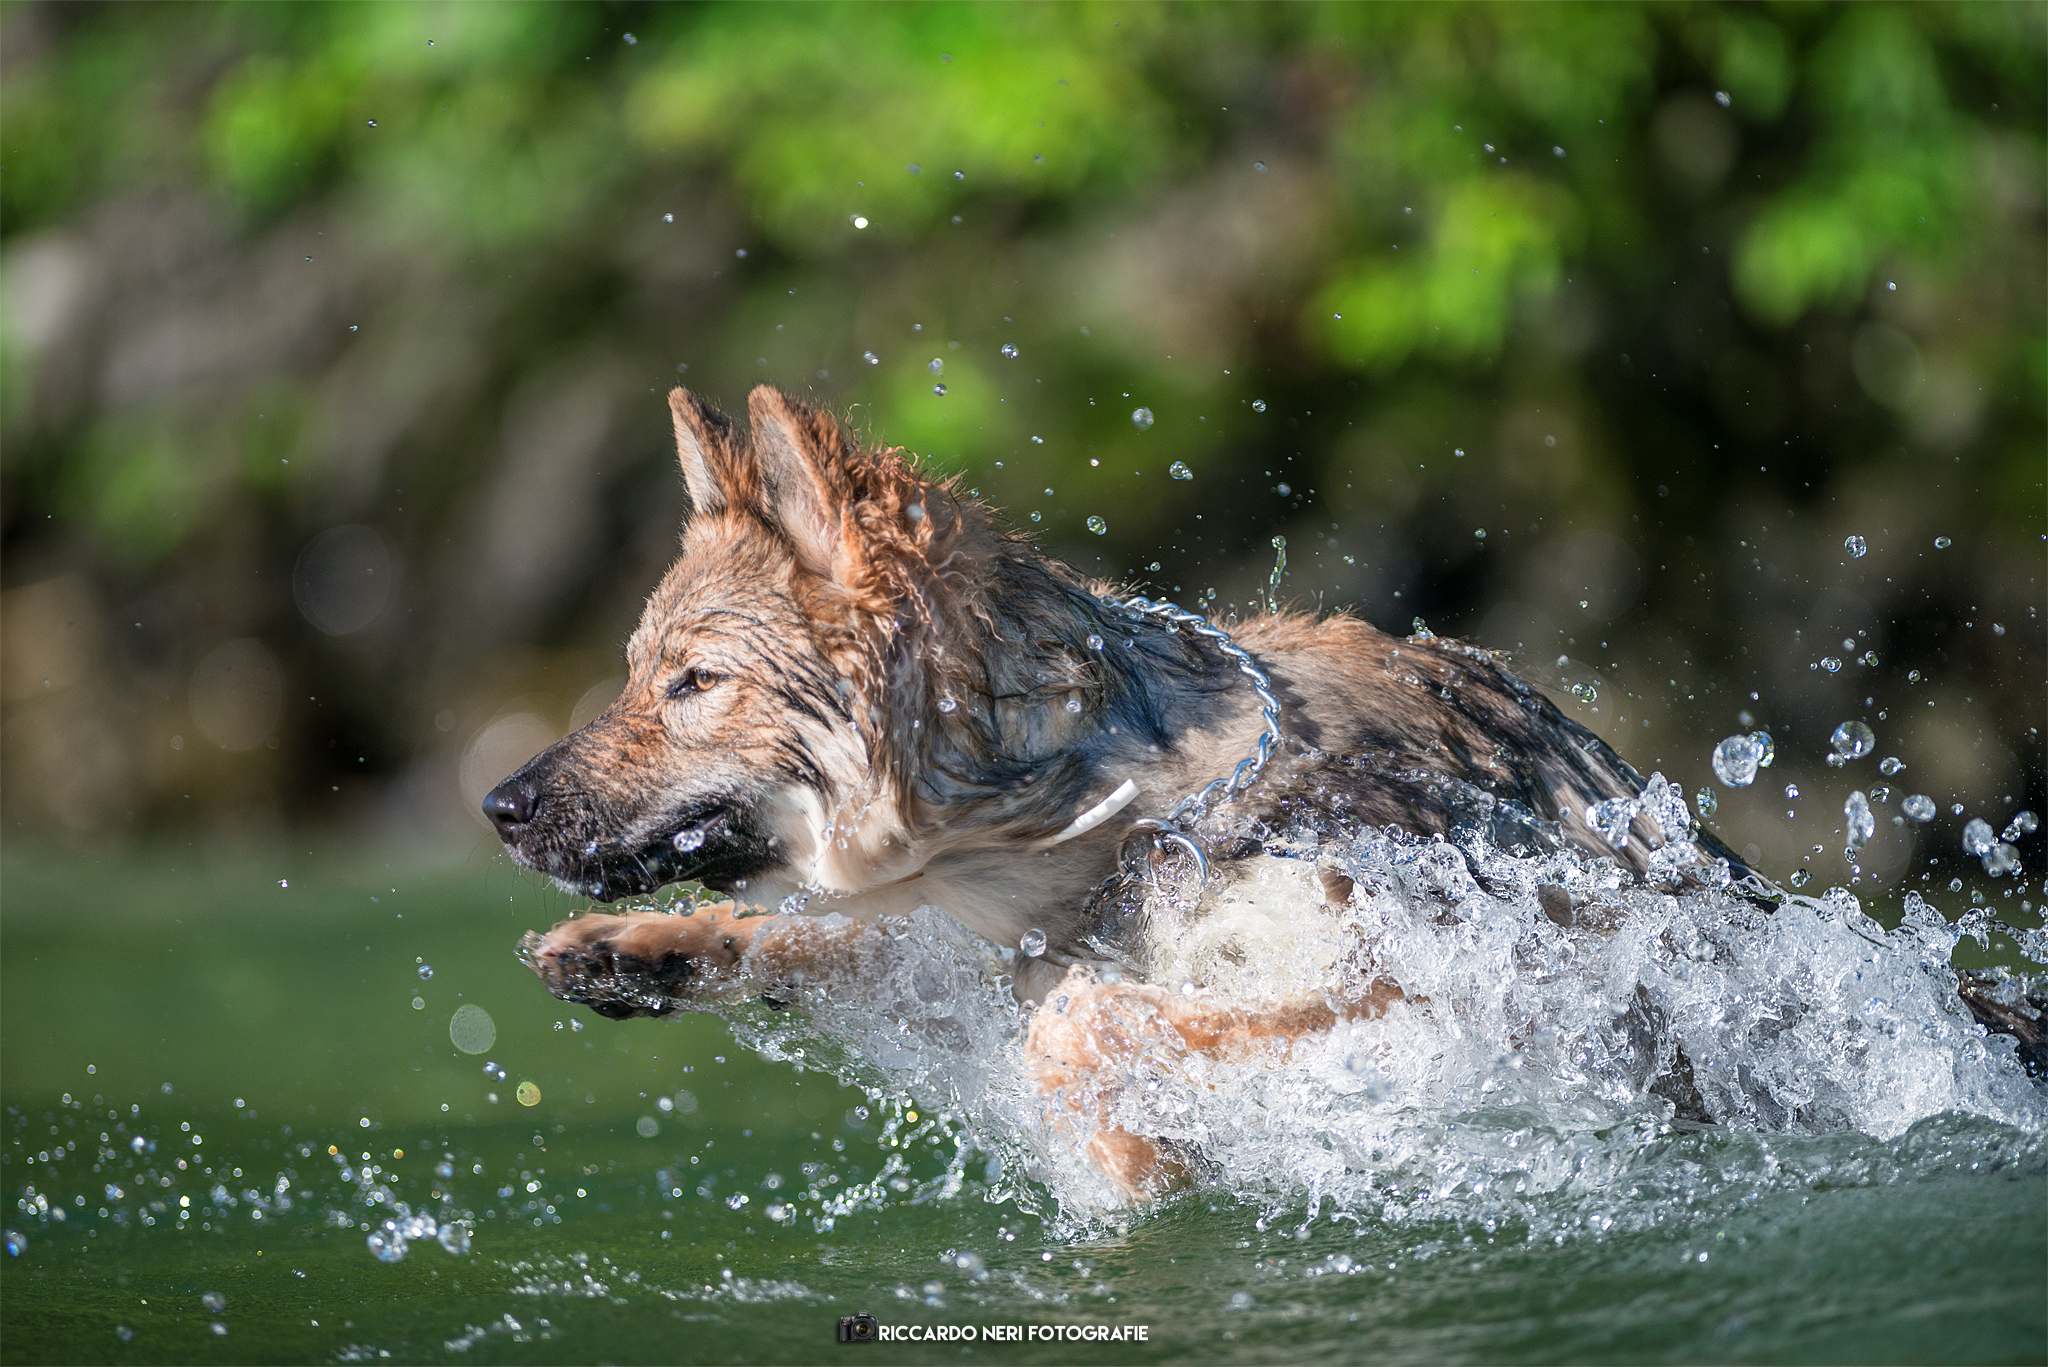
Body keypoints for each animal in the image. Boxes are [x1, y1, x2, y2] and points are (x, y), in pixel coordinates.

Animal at [484, 385, 2039, 1198]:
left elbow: (1082, 1021)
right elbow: (831, 936)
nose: (496, 804)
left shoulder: (1454, 990)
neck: (1125, 815)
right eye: (632, 673)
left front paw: (1123, 1155)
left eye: (690, 682)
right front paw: (638, 948)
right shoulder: (978, 943)